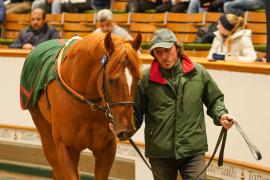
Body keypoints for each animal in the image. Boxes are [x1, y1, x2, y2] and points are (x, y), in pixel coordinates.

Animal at [26, 32, 142, 180]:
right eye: (111, 80)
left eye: (138, 78)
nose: (127, 130)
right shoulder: (66, 149)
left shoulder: (106, 149)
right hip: (45, 133)